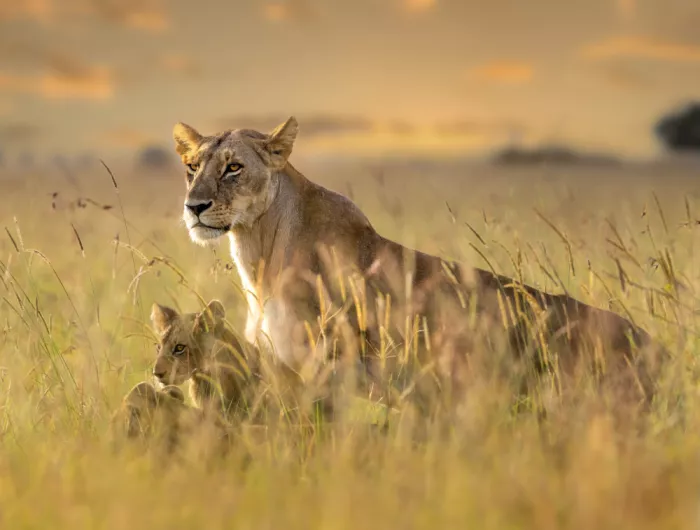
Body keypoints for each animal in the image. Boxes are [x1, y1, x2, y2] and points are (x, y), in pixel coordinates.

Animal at [170, 116, 669, 416]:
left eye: (234, 167)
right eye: (192, 167)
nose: (194, 207)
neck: (259, 253)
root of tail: (654, 344)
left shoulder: (324, 374)